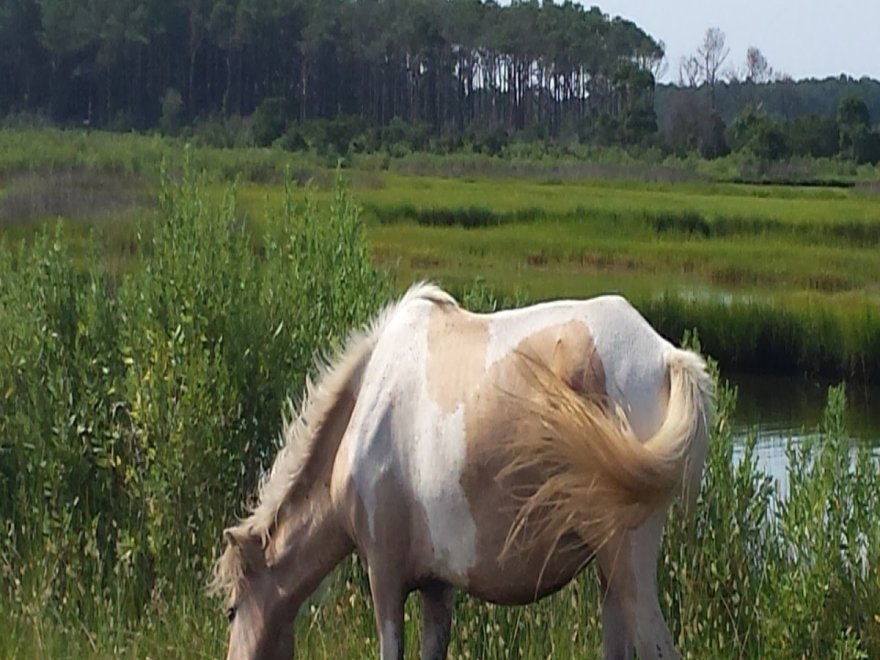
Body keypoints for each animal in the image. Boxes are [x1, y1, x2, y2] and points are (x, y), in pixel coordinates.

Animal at [213, 284, 716, 660]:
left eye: (233, 610)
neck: (368, 404)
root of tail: (666, 357)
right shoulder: (438, 588)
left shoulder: (384, 577)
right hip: (609, 577)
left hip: (627, 563)